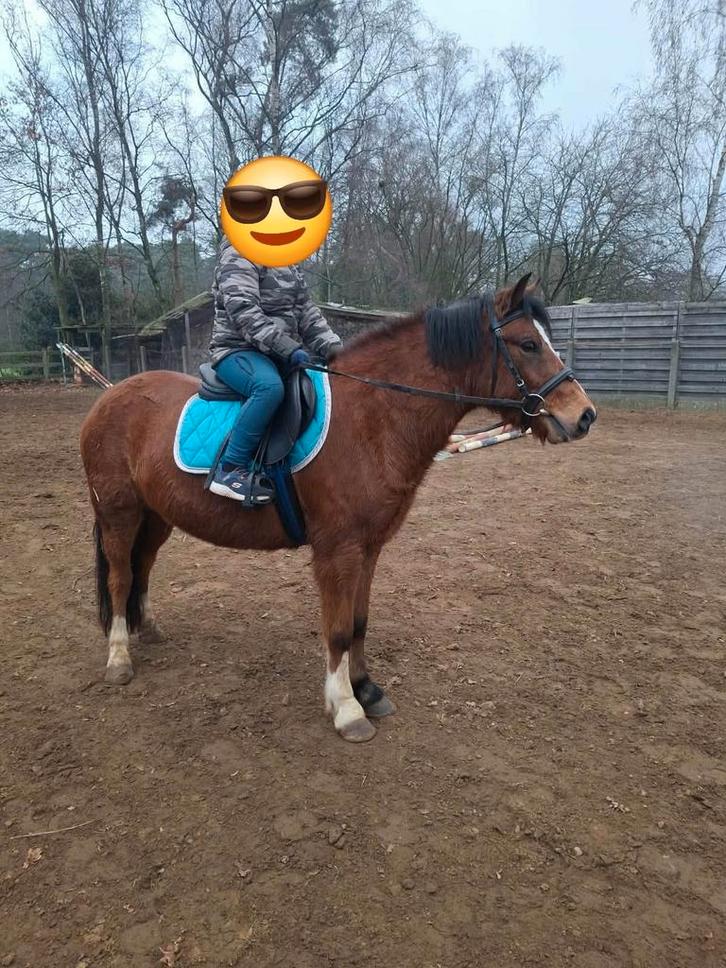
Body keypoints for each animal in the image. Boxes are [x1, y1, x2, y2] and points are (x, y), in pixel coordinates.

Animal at [80, 275, 596, 742]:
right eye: (528, 343)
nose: (584, 416)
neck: (373, 416)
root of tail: (110, 395)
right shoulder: (337, 550)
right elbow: (338, 630)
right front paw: (346, 707)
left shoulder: (369, 547)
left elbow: (359, 622)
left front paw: (366, 689)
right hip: (120, 514)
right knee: (120, 575)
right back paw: (119, 657)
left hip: (156, 515)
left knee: (143, 566)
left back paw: (148, 629)